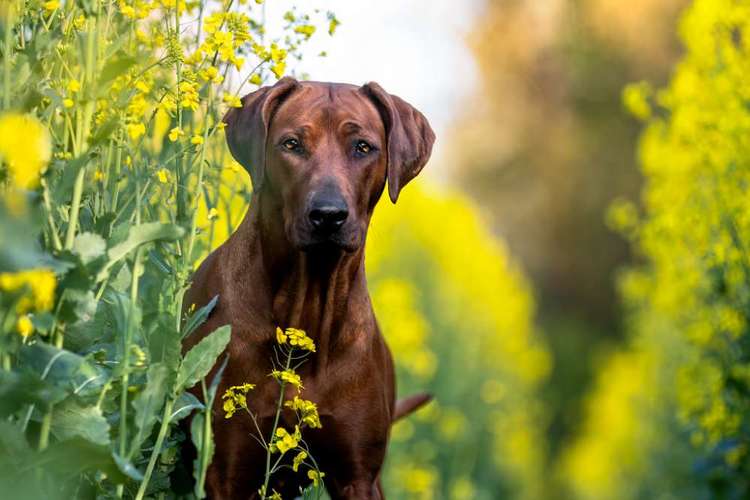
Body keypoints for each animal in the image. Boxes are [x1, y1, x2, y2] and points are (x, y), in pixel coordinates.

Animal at [183, 76, 438, 498]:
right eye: (292, 144)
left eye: (363, 147)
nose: (329, 215)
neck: (308, 309)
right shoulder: (225, 470)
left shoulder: (358, 476)